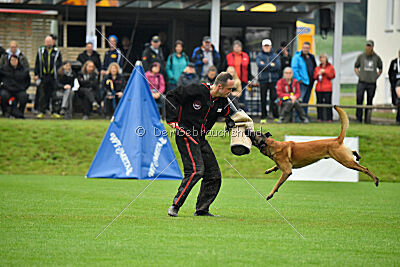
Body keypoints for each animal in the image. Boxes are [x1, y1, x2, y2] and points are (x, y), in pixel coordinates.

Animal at [245, 107, 380, 201]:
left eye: (254, 134)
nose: (246, 130)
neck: (272, 145)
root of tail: (337, 139)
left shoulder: (287, 171)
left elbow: (277, 184)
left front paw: (270, 194)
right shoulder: (283, 165)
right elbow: (275, 166)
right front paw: (269, 170)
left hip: (345, 161)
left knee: (364, 168)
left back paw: (376, 180)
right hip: (345, 156)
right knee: (353, 152)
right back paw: (357, 155)